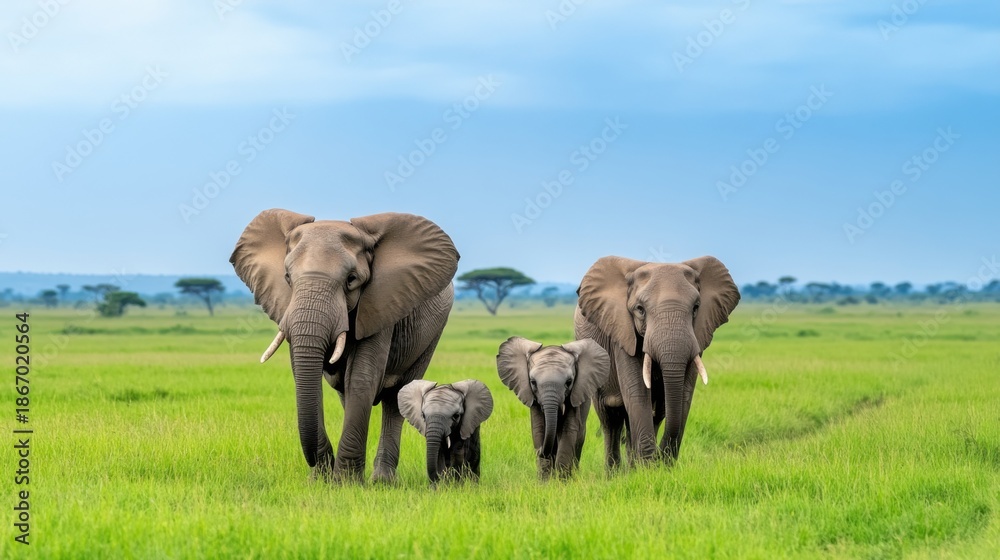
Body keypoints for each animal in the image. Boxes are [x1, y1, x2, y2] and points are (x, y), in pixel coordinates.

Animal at [230, 209, 459, 482]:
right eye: (287, 277)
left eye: (351, 280)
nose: (323, 465)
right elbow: (305, 375)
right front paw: (323, 479)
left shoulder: (381, 304)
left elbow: (362, 376)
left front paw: (346, 481)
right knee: (345, 392)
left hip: (432, 333)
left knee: (396, 397)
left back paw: (382, 480)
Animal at [496, 337, 609, 479]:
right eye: (533, 382)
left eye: (569, 382)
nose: (539, 450)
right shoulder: (533, 398)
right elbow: (539, 429)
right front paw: (544, 481)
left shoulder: (575, 394)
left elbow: (568, 430)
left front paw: (562, 481)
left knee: (578, 438)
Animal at [574, 256, 739, 470]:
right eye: (640, 310)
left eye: (696, 308)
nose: (663, 460)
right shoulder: (621, 332)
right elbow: (637, 392)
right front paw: (648, 469)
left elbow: (684, 393)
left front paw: (657, 469)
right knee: (610, 419)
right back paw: (615, 473)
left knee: (654, 413)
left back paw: (632, 469)